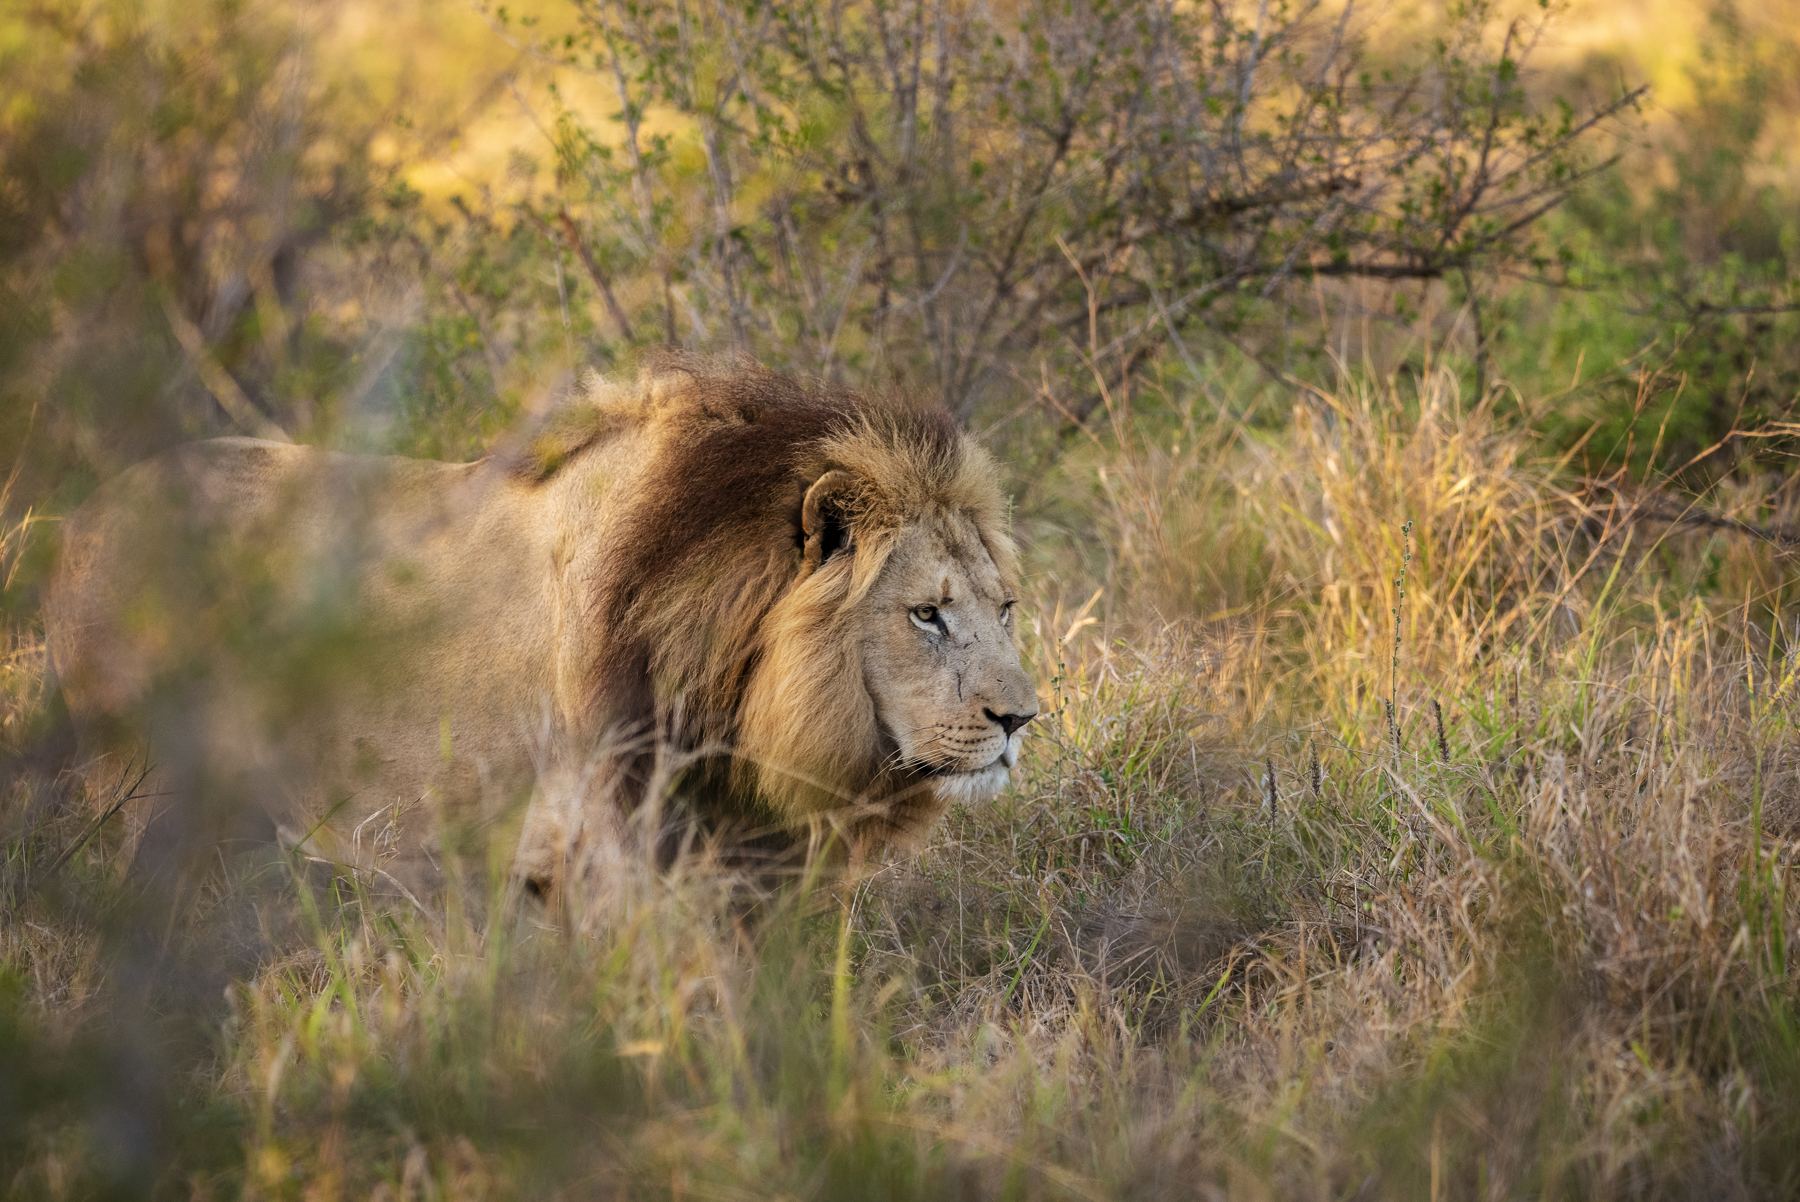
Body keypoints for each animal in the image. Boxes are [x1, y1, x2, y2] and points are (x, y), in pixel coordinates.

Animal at [43, 356, 1038, 893]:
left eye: (1003, 607)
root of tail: (86, 512)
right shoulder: (602, 839)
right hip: (137, 797)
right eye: (926, 614)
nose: (1021, 720)